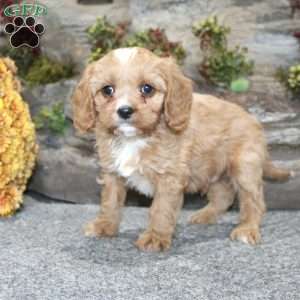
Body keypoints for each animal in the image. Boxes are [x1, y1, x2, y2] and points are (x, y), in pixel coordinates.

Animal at [71, 47, 292, 251]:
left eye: (147, 89)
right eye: (107, 90)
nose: (125, 111)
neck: (135, 138)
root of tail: (253, 119)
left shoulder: (169, 177)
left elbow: (161, 208)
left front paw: (155, 237)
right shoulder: (112, 174)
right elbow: (110, 202)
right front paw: (104, 226)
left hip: (245, 167)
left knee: (253, 200)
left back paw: (247, 229)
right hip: (213, 171)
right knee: (224, 196)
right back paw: (205, 215)